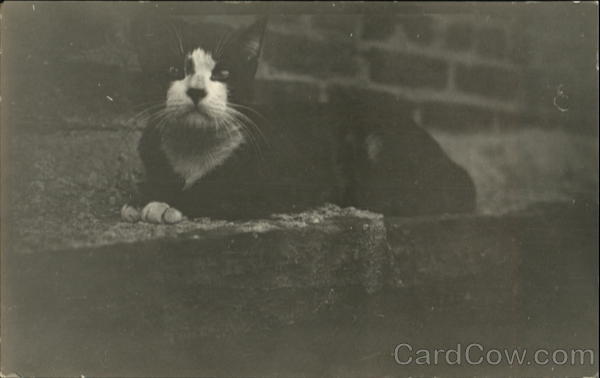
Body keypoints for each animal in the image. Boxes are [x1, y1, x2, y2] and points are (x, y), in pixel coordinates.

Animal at [122, 16, 478, 224]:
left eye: (223, 74)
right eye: (173, 70)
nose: (196, 91)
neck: (195, 145)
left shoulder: (282, 182)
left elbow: (216, 191)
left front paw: (161, 205)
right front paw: (142, 198)